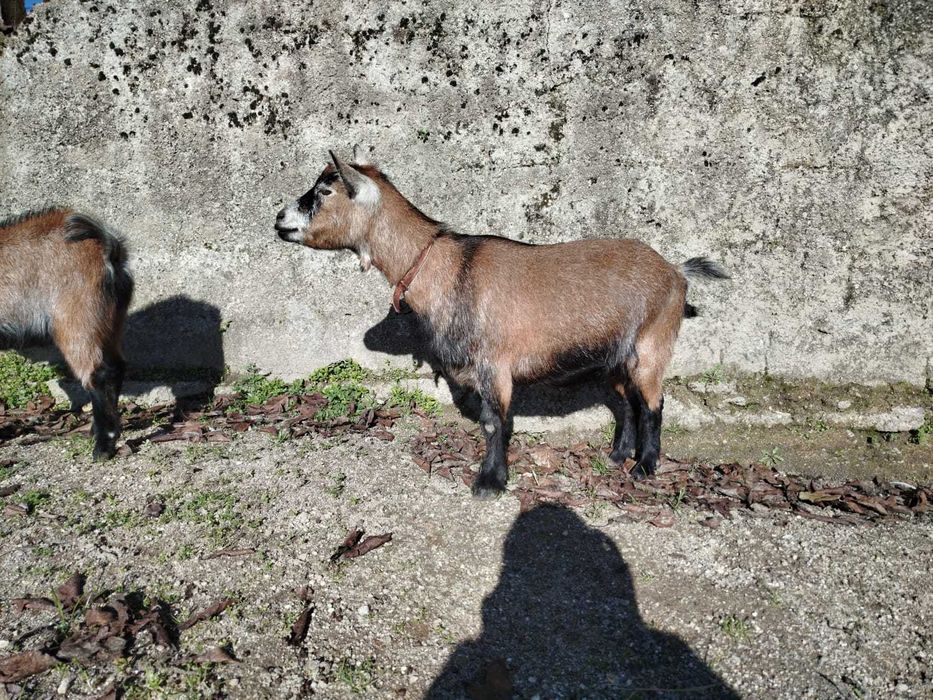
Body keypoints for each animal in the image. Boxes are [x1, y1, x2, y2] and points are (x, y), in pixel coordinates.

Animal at [0, 207, 133, 460]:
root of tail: (108, 248)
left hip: (76, 324)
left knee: (98, 374)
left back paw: (104, 445)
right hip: (110, 324)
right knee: (118, 367)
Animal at [275, 149, 728, 498]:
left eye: (324, 191)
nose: (279, 217)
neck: (446, 267)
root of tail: (676, 272)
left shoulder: (494, 365)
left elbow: (494, 422)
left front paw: (489, 482)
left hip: (653, 344)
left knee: (653, 402)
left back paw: (645, 466)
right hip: (617, 356)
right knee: (628, 401)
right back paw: (618, 456)